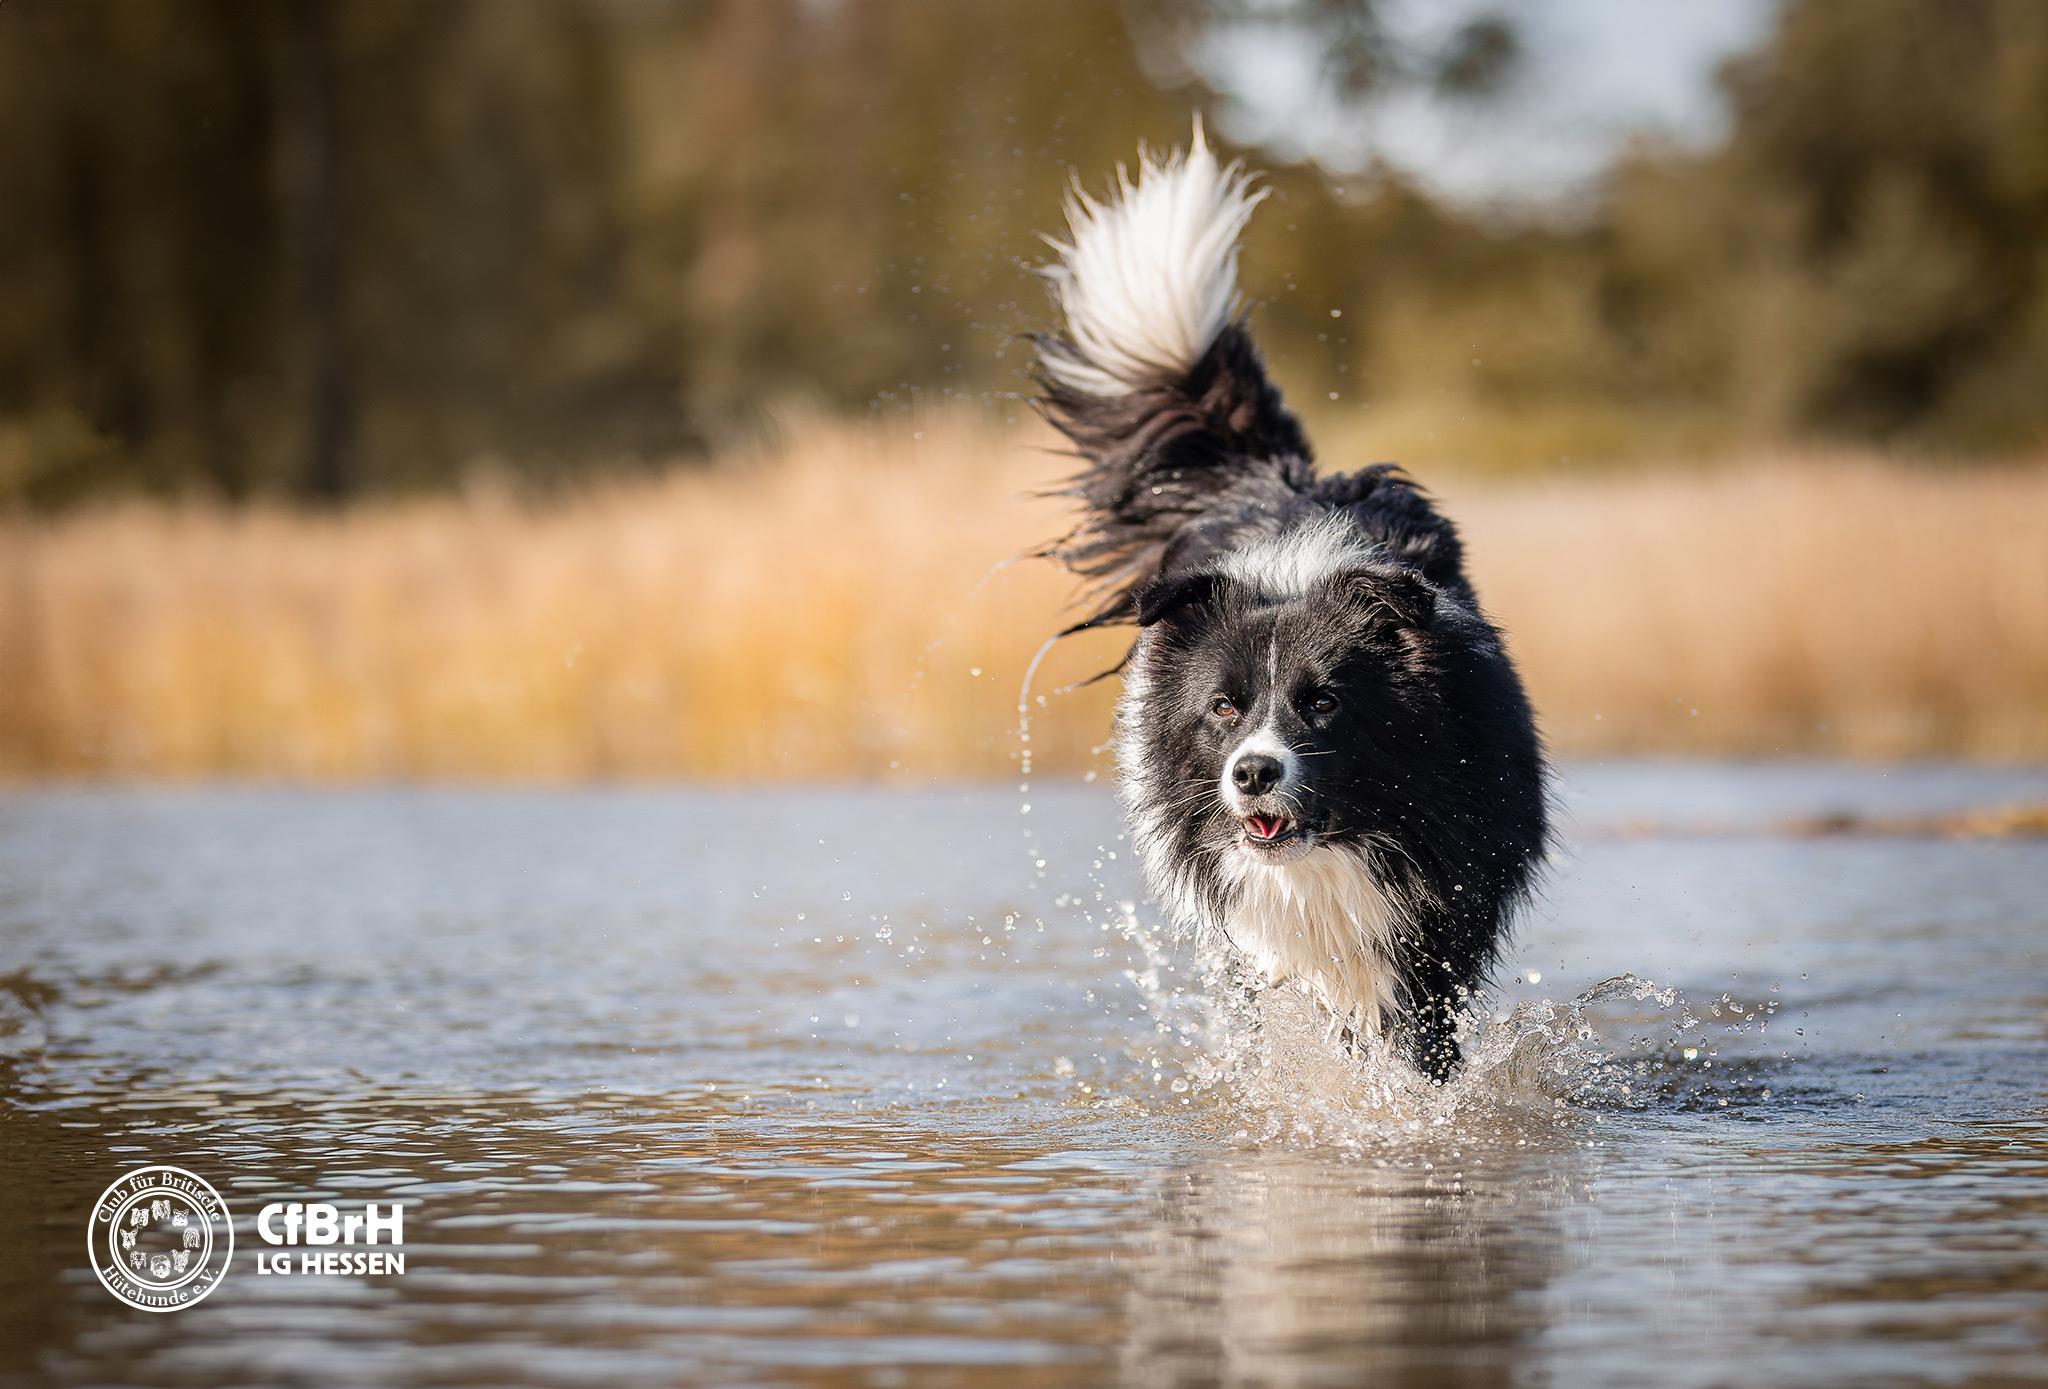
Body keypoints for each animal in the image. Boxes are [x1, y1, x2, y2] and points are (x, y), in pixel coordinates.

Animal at [1032, 128, 1540, 1089]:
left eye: (1325, 702)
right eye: (1223, 708)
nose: (1254, 773)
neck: (1335, 845)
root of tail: (1276, 476)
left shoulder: (1443, 909)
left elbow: (1416, 1034)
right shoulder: (1252, 920)